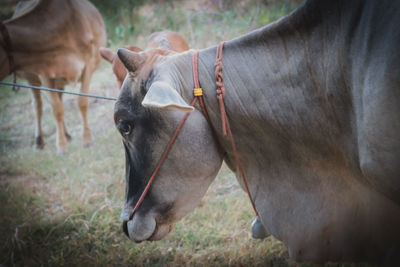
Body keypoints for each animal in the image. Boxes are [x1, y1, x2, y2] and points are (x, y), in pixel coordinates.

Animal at [0, 0, 106, 154]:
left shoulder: (89, 64)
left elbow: (82, 102)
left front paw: (87, 140)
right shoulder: (43, 73)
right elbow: (57, 109)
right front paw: (61, 147)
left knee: (59, 99)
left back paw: (66, 134)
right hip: (32, 79)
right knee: (38, 105)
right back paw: (39, 141)